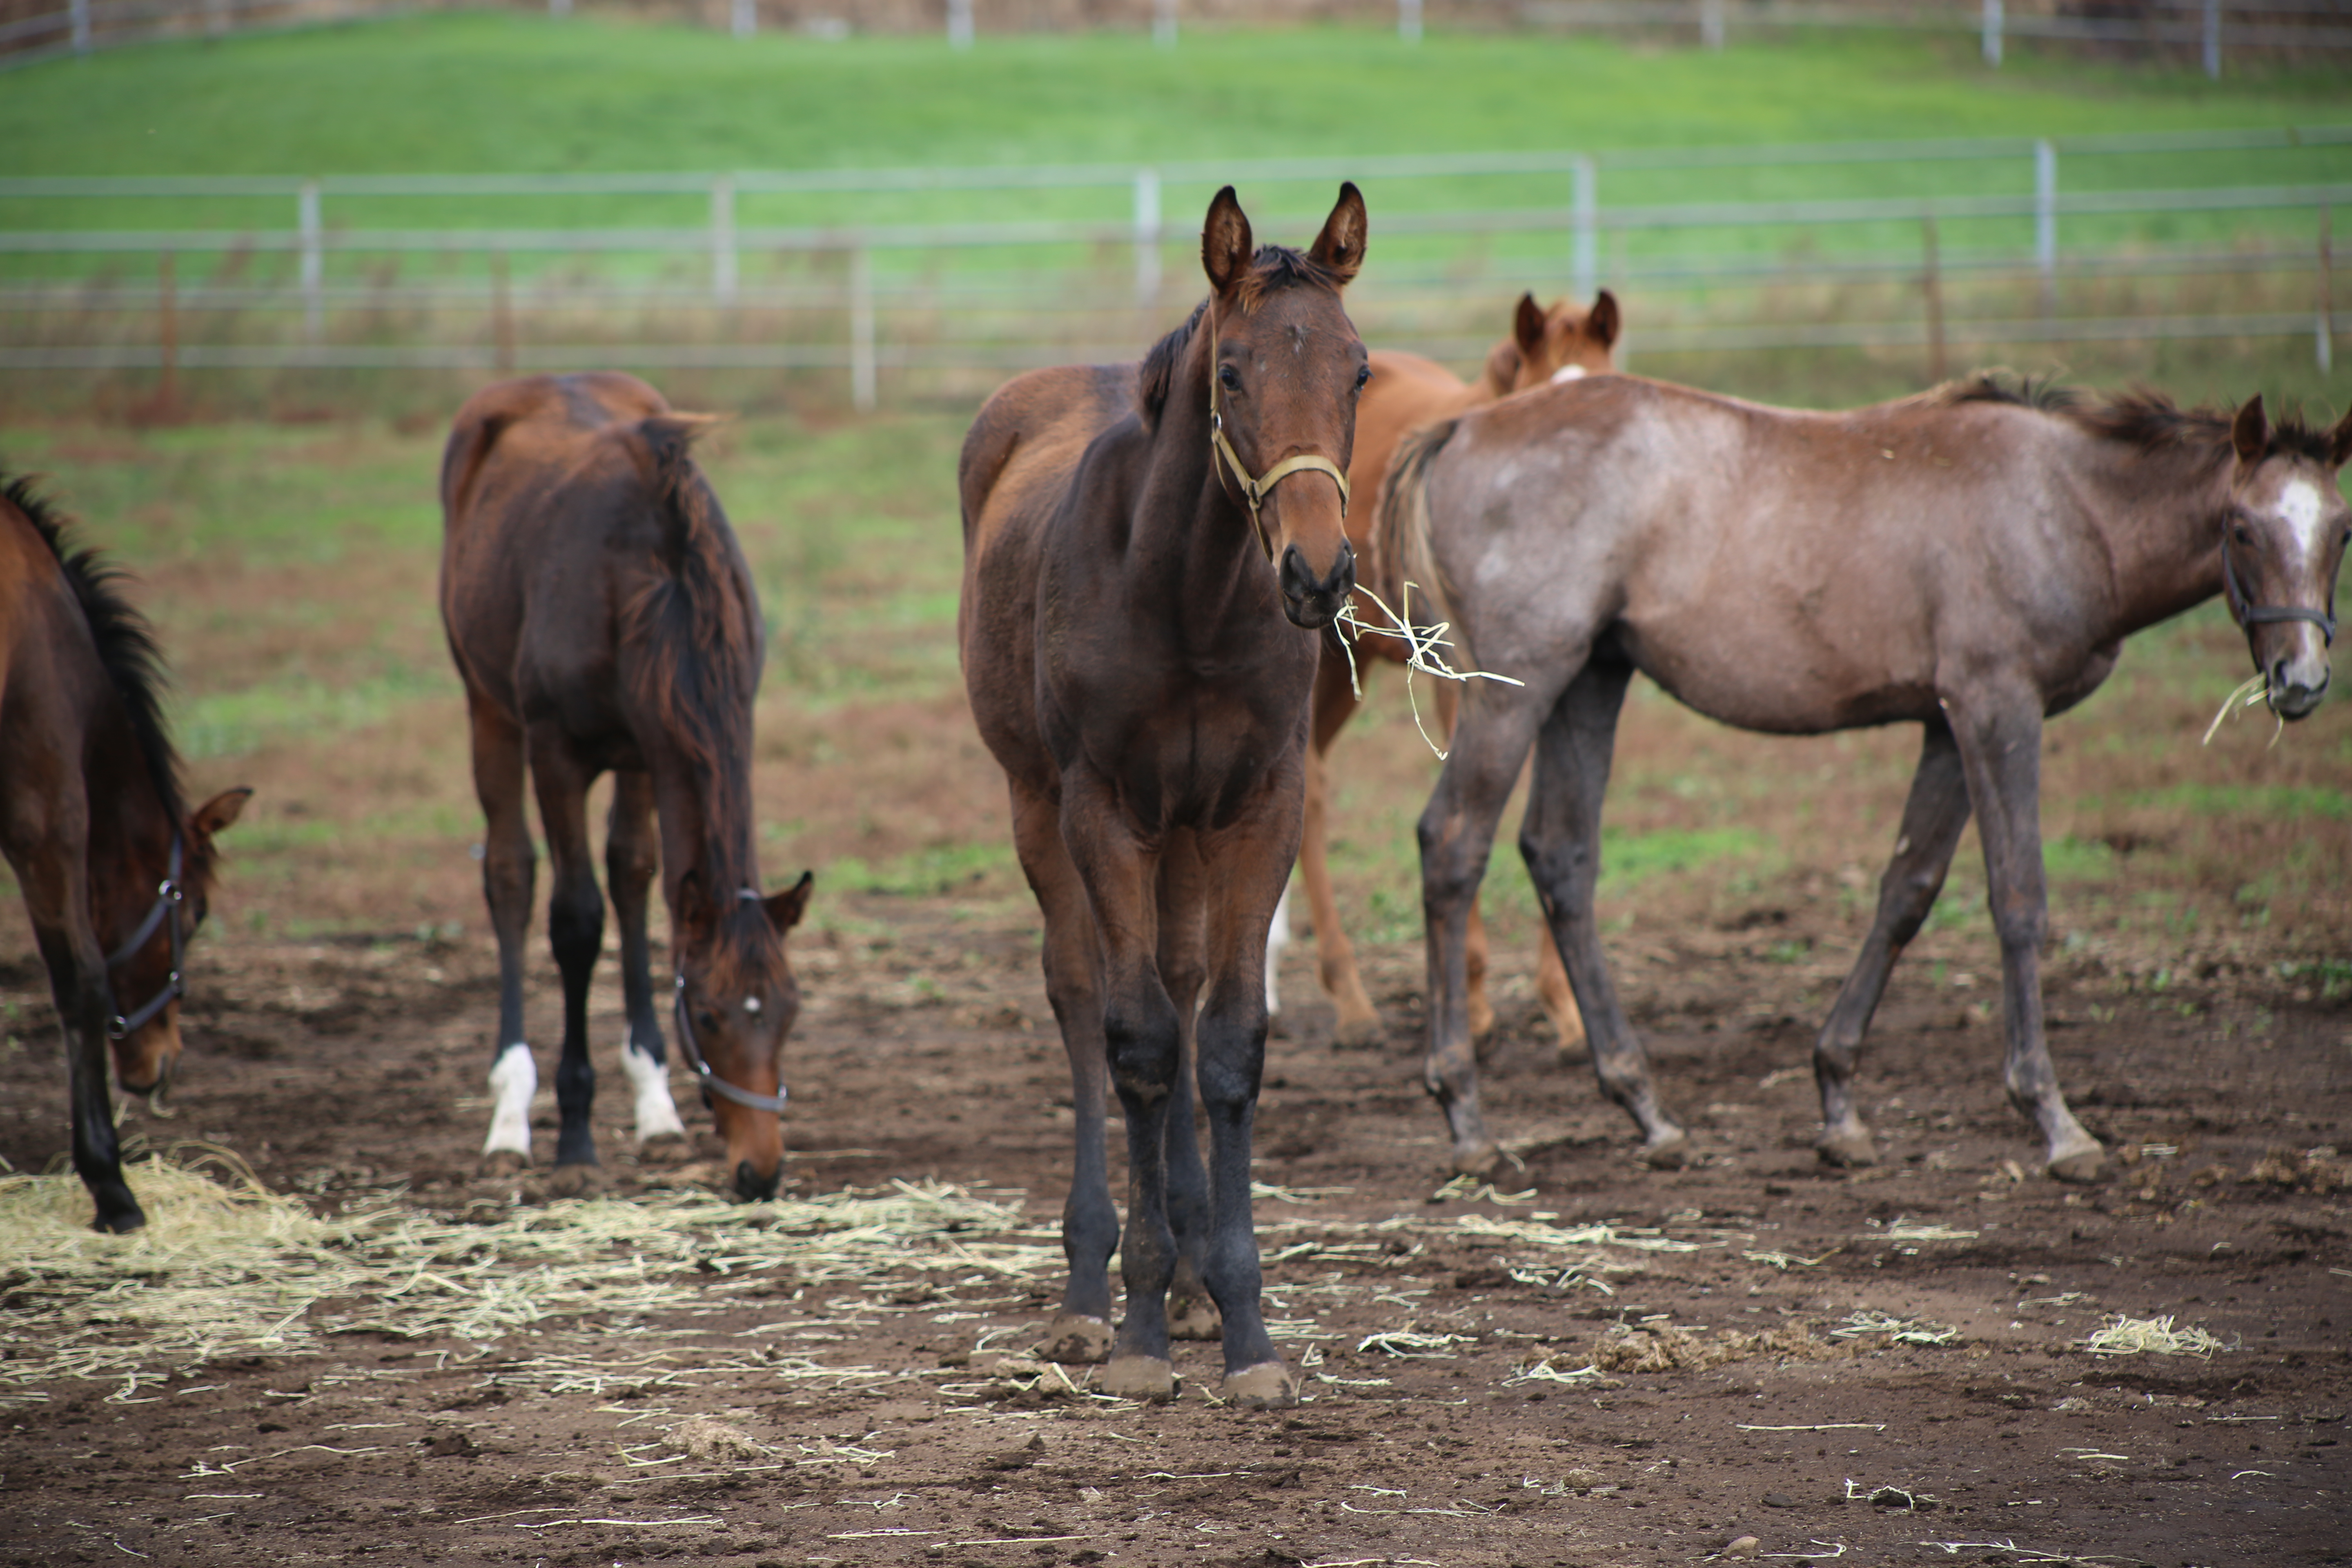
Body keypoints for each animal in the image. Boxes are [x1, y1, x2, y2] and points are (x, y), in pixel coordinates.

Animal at [437, 371, 813, 1203]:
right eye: (707, 1014)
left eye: (789, 1011)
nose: (761, 1171)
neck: (651, 581)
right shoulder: (557, 751)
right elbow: (576, 921)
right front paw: (576, 1135)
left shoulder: (656, 745)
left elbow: (647, 881)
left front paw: (656, 1110)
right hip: (487, 708)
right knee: (510, 874)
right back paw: (509, 1117)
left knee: (632, 875)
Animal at [950, 184, 1364, 1410]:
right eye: (1231, 371)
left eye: (1359, 370)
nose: (1318, 574)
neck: (1183, 592)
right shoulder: (1104, 808)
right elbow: (1133, 1043)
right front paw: (1136, 1325)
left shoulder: (1256, 806)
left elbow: (1223, 1043)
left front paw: (1244, 1326)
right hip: (1039, 804)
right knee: (1083, 993)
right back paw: (1092, 1290)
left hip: (1186, 837)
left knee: (1179, 985)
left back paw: (1188, 1274)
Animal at [1289, 288, 1618, 1048]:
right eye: (1536, 406)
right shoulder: (1457, 685)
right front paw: (1474, 997)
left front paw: (1563, 1003)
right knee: (1309, 789)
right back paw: (1349, 996)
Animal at [1373, 381, 2352, 1185]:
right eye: (2242, 528)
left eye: (2341, 531)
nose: (2301, 681)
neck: (2066, 504)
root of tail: (1465, 425)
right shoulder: (1997, 707)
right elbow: (2019, 900)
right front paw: (2054, 1120)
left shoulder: (1946, 727)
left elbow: (1907, 892)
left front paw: (1838, 1100)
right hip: (1520, 686)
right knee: (1454, 845)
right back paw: (1466, 1117)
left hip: (1591, 680)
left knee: (1562, 856)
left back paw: (1644, 1106)